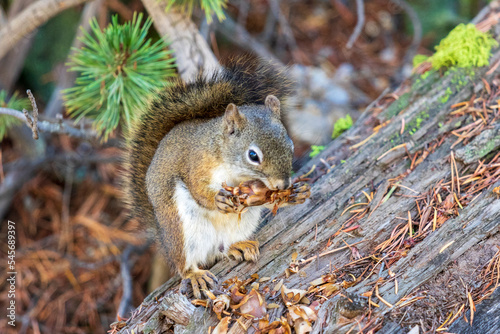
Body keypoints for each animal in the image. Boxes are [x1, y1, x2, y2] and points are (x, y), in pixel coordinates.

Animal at [122, 56, 308, 298]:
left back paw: (238, 246)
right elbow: (198, 190)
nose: (283, 184)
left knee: (222, 249)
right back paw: (195, 275)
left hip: (242, 225)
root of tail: (164, 239)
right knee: (185, 264)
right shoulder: (195, 165)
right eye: (253, 155)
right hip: (182, 231)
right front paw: (218, 199)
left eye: (291, 145)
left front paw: (295, 194)